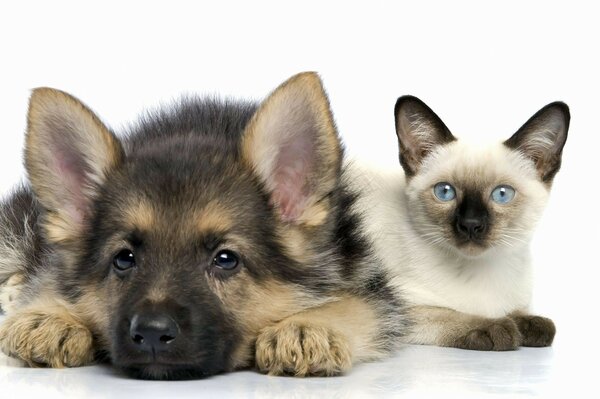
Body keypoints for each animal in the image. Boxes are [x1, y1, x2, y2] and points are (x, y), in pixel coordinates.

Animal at [0, 72, 406, 382]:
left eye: (226, 259)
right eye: (123, 259)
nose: (151, 333)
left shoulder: (368, 278)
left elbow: (358, 304)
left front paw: (308, 326)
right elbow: (52, 276)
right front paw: (49, 316)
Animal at [354, 98, 568, 352]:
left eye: (502, 194)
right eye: (445, 192)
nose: (471, 225)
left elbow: (530, 317)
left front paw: (528, 324)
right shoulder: (389, 306)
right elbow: (446, 313)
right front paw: (500, 328)